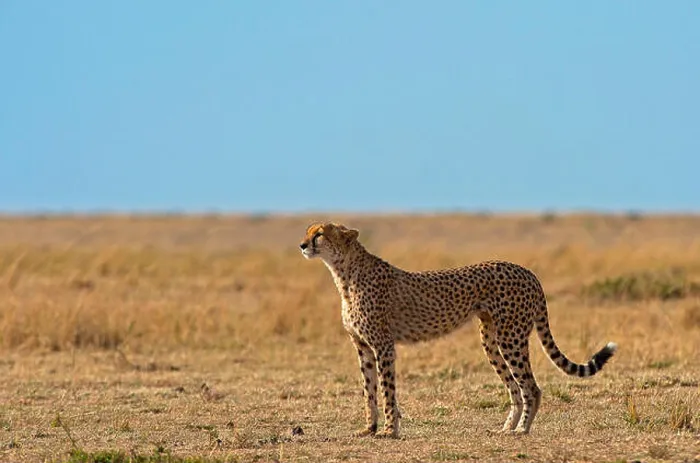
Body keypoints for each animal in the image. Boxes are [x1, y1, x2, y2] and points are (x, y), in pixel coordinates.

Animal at [299, 222, 617, 438]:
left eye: (319, 234)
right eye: (308, 231)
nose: (302, 245)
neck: (344, 273)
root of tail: (528, 271)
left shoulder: (383, 346)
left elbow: (387, 391)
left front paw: (389, 430)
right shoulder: (363, 347)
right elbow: (369, 391)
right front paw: (369, 428)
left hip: (511, 337)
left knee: (531, 387)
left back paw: (522, 430)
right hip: (491, 341)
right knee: (515, 387)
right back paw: (506, 428)